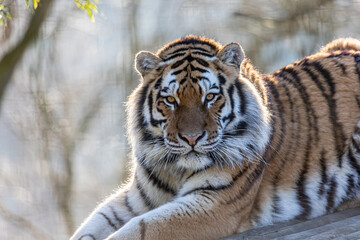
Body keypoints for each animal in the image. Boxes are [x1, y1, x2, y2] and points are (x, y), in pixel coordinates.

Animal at [71, 36, 360, 240]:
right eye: (170, 100)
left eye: (210, 97)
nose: (191, 138)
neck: (175, 168)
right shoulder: (138, 197)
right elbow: (94, 223)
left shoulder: (215, 204)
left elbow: (141, 228)